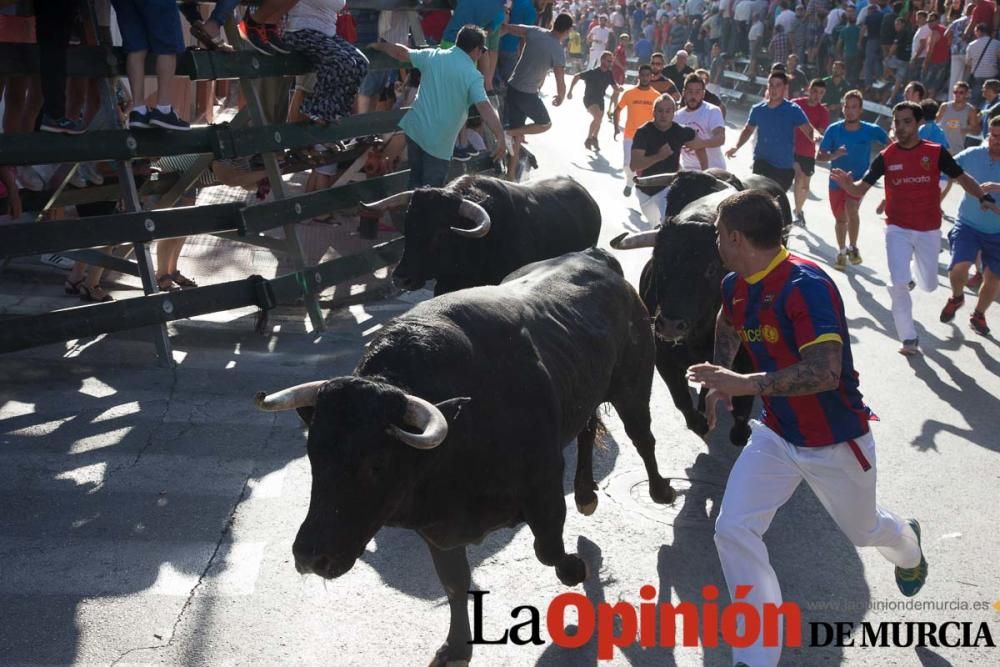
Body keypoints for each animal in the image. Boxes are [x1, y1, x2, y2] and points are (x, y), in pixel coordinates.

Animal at [256, 249, 672, 664]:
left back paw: (659, 490)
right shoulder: (438, 530)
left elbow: (550, 552)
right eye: (313, 454)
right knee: (588, 426)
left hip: (633, 386)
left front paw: (577, 567)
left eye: (376, 464)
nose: (310, 557)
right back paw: (586, 493)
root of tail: (593, 256)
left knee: (643, 437)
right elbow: (455, 585)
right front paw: (456, 646)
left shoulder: (545, 488)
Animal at [604, 171, 792, 448]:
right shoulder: (663, 356)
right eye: (659, 260)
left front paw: (739, 432)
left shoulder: (745, 358)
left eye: (712, 268)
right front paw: (699, 421)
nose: (671, 324)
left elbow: (741, 404)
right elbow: (681, 398)